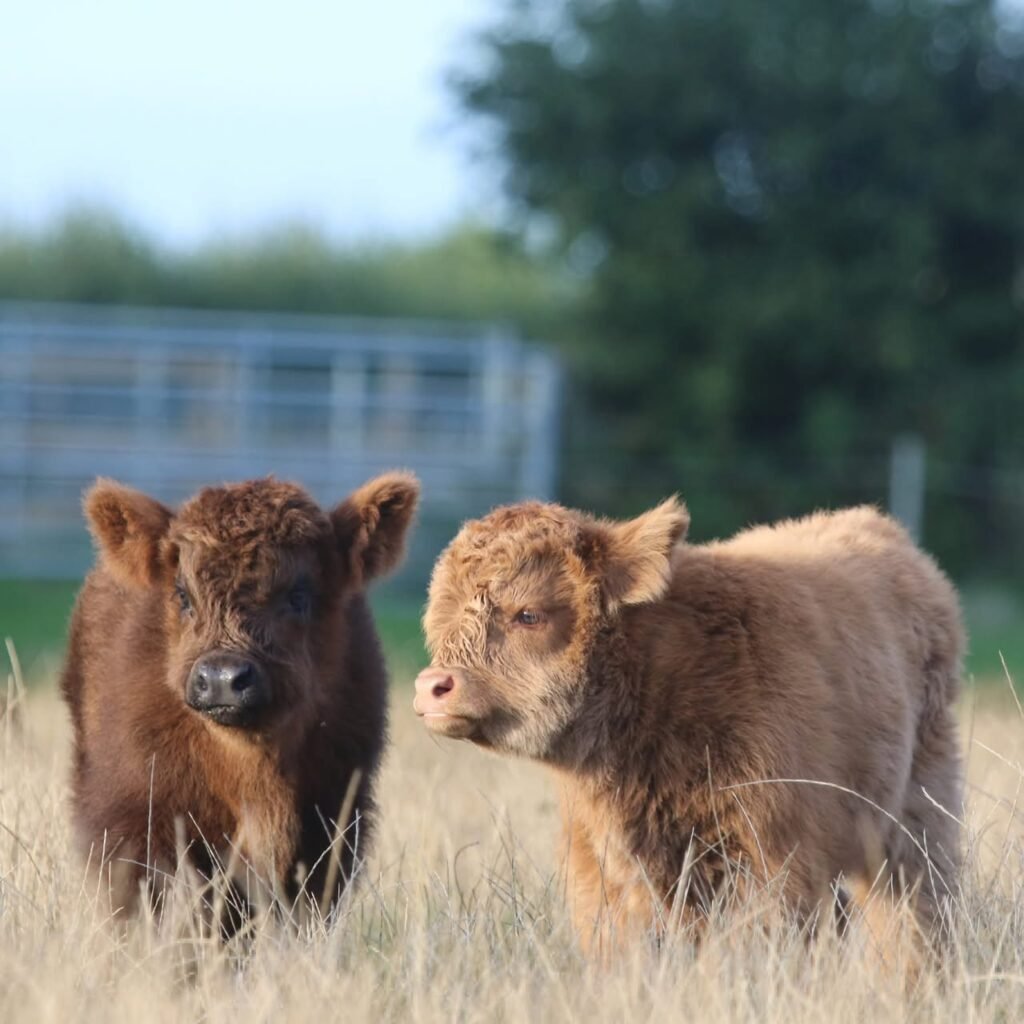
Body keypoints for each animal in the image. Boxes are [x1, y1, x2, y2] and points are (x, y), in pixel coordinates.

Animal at [414, 499, 964, 957]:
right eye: (440, 619)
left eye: (528, 613)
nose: (433, 686)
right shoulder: (605, 869)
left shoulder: (773, 858)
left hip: (916, 820)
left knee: (916, 917)